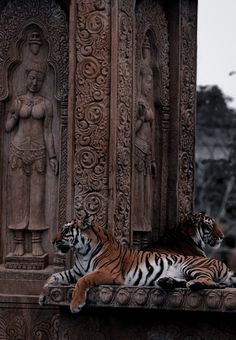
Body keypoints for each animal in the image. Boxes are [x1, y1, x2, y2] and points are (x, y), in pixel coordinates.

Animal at [38, 214, 234, 314]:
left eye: (65, 231)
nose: (53, 241)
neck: (82, 252)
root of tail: (222, 264)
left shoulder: (108, 272)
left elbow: (83, 281)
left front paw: (75, 304)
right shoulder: (75, 271)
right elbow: (54, 276)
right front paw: (42, 295)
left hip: (193, 266)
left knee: (211, 282)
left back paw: (193, 284)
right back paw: (167, 282)